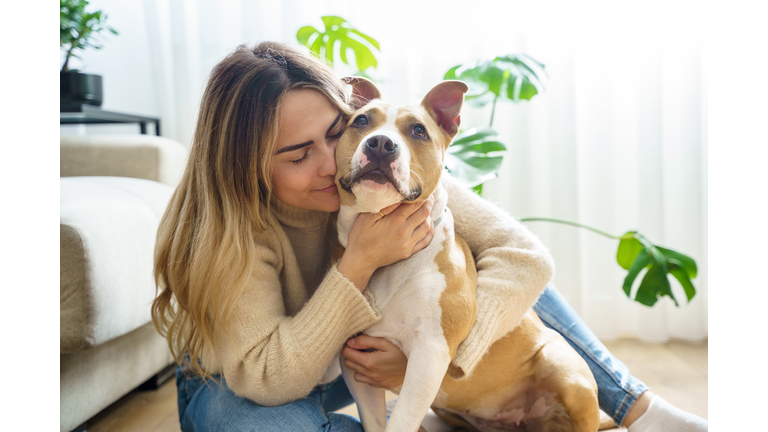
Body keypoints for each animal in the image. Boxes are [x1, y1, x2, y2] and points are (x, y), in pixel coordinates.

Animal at [336, 78, 600, 432]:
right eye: (361, 121)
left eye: (418, 130)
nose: (380, 143)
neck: (388, 260)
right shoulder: (355, 361)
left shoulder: (429, 353)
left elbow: (401, 421)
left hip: (562, 369)